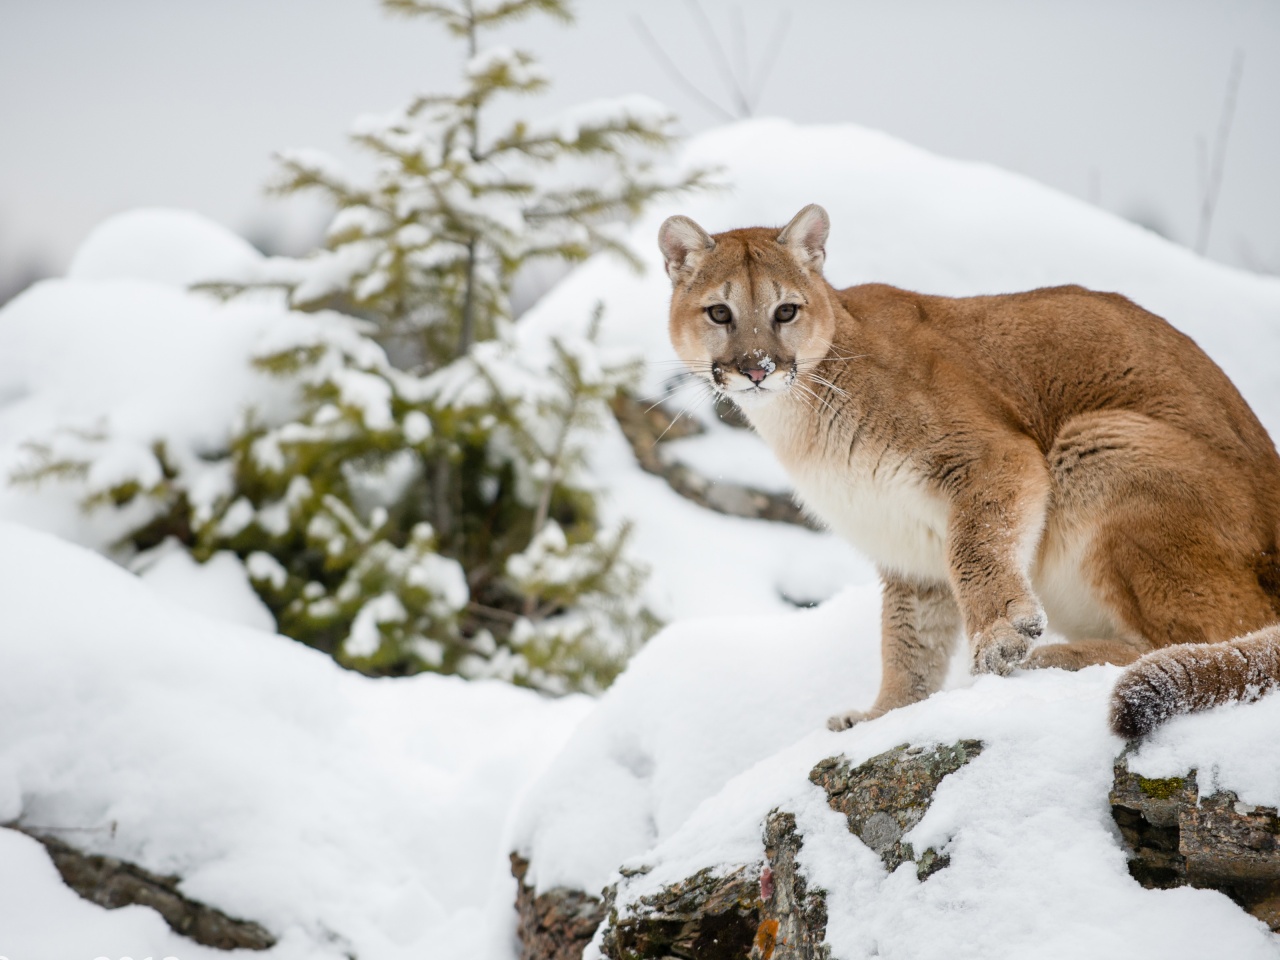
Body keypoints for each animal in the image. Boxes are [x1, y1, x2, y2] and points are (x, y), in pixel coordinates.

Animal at [660, 207, 1280, 742]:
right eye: (720, 313)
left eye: (785, 311)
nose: (756, 369)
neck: (801, 414)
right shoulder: (906, 545)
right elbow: (907, 639)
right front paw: (886, 715)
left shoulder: (993, 456)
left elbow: (975, 549)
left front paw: (1002, 635)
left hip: (1099, 443)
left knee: (1203, 634)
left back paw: (1058, 658)